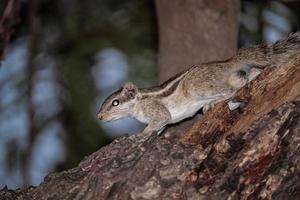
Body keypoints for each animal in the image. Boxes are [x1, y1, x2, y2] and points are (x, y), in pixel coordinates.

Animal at [97, 32, 300, 135]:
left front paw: (142, 134)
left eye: (115, 102)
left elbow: (161, 119)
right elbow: (161, 127)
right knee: (247, 77)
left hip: (196, 87)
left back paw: (215, 102)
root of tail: (228, 62)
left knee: (229, 90)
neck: (138, 103)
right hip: (234, 77)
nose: (99, 117)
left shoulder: (154, 109)